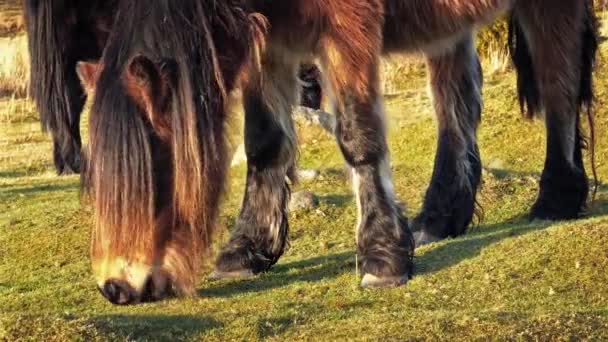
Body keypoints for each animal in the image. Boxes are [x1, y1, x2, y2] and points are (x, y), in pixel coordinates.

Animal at [25, 0, 600, 304]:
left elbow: (357, 136)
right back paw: (440, 217)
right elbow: (264, 142)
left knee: (559, 82)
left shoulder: (346, 28)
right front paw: (248, 250)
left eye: (155, 174)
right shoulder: (272, 42)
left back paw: (557, 198)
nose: (117, 287)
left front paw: (382, 257)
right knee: (457, 103)